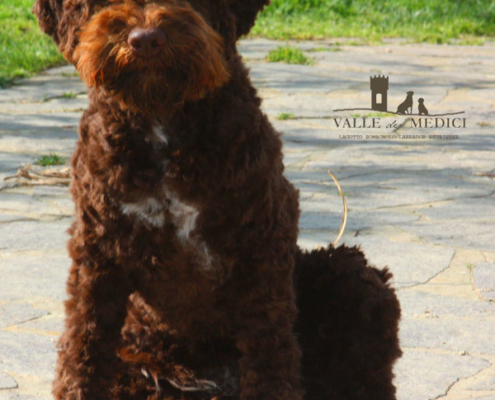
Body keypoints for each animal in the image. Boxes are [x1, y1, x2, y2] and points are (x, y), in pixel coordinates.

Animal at [32, 0, 404, 400]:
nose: (146, 40)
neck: (163, 120)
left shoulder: (261, 244)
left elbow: (268, 345)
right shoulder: (97, 251)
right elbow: (84, 342)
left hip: (354, 277)